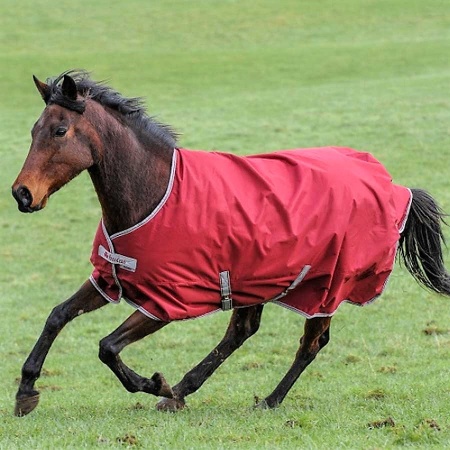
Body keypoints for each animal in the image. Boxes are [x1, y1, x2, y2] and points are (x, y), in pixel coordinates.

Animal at [11, 68, 450, 416]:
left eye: (60, 130)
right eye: (32, 129)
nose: (21, 194)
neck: (154, 193)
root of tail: (394, 187)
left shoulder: (165, 302)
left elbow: (107, 347)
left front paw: (154, 382)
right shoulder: (111, 278)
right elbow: (57, 316)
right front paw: (26, 391)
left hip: (326, 287)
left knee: (310, 343)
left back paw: (264, 400)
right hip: (256, 280)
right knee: (242, 331)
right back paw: (184, 391)